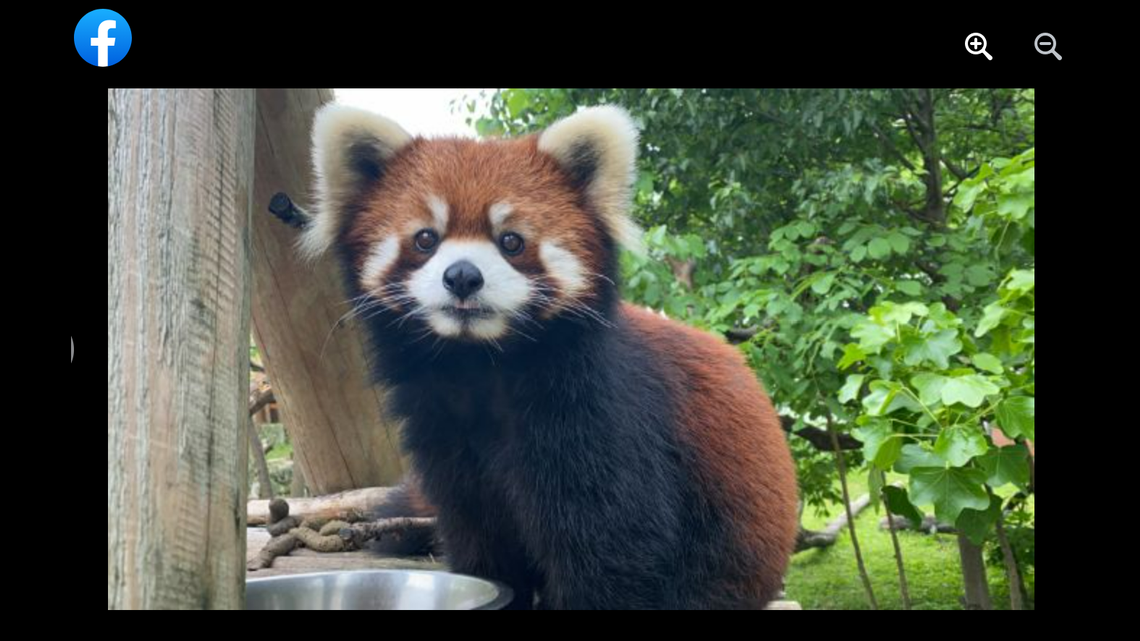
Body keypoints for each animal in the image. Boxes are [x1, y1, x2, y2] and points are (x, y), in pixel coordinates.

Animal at [303, 102, 802, 606]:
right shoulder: (444, 435)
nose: (462, 276)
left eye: (511, 241)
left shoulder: (601, 420)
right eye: (426, 238)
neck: (479, 365)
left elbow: (615, 552)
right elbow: (480, 537)